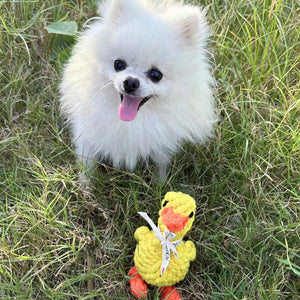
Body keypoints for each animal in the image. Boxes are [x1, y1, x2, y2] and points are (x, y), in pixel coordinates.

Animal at [59, 0, 217, 178]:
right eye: (118, 64)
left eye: (156, 75)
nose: (131, 82)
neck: (130, 122)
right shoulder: (89, 133)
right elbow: (87, 161)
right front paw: (85, 183)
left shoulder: (160, 143)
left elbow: (161, 163)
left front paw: (160, 182)